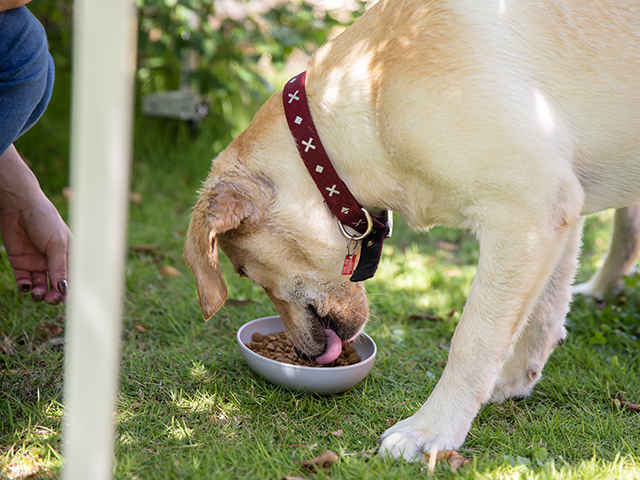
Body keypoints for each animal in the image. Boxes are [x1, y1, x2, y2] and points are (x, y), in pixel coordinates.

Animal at [185, 0, 640, 464]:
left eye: (243, 271)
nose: (301, 354)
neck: (373, 92)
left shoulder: (528, 210)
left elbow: (473, 340)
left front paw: (433, 428)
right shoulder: (560, 210)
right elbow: (544, 313)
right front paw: (514, 381)